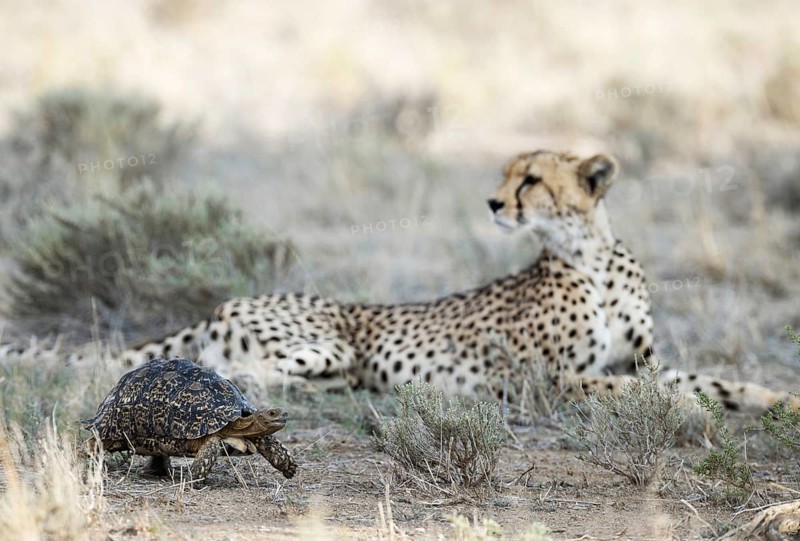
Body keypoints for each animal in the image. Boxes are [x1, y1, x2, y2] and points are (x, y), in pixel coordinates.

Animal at [102, 150, 798, 412]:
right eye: (505, 174)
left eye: (531, 179)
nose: (492, 203)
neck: (591, 255)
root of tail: (225, 300)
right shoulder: (546, 380)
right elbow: (630, 389)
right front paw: (688, 407)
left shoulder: (643, 359)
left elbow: (716, 380)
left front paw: (777, 400)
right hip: (330, 343)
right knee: (239, 374)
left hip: (334, 359)